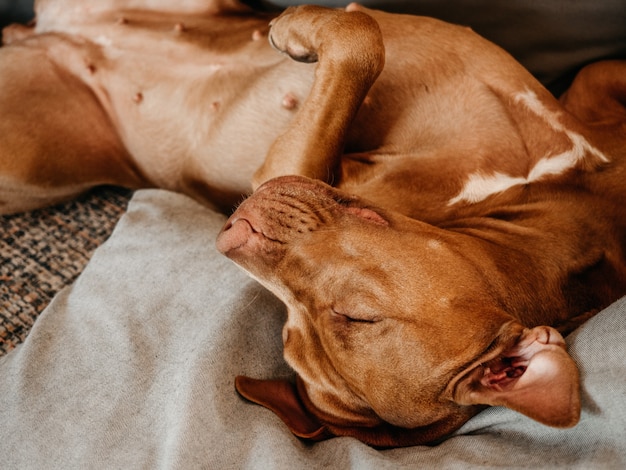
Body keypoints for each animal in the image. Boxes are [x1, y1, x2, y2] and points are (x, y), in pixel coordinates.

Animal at [1, 0, 624, 448]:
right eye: (360, 317)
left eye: (341, 318)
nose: (235, 233)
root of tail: (40, 30)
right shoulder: (593, 95)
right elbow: (364, 34)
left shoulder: (286, 167)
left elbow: (359, 43)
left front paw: (297, 27)